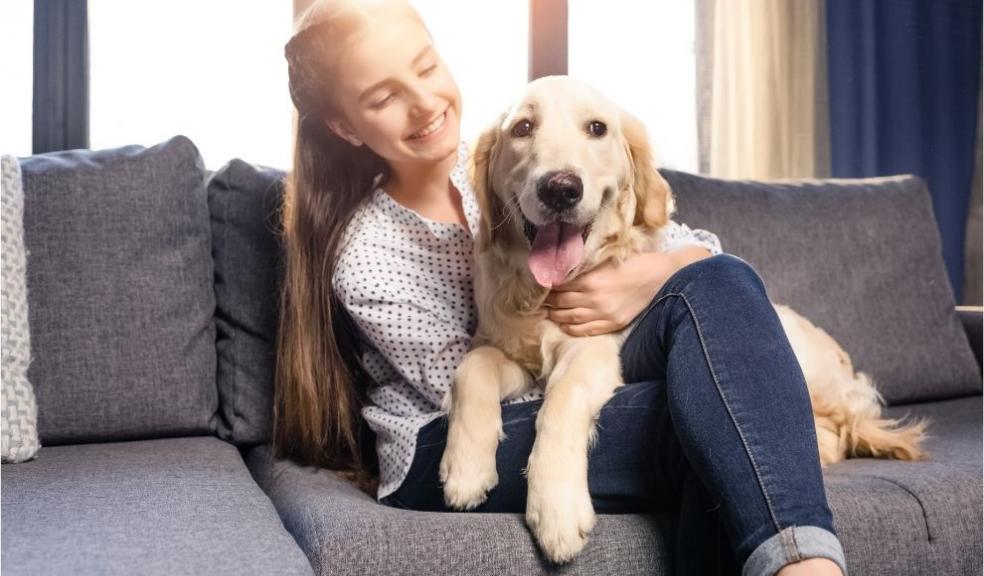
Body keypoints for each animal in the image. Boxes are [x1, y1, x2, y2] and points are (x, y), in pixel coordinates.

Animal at [438, 75, 932, 564]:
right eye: (522, 128)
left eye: (597, 129)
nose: (560, 188)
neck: (544, 293)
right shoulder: (510, 354)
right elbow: (471, 368)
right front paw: (465, 466)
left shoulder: (592, 352)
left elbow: (562, 399)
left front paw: (556, 507)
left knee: (831, 431)